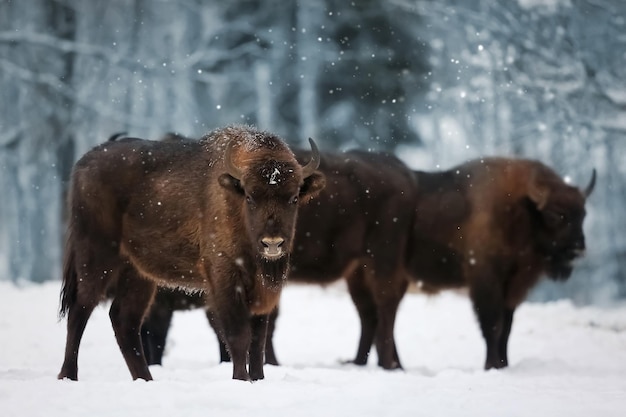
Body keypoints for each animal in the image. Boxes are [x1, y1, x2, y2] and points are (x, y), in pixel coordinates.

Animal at [56, 124, 324, 380]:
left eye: (294, 198)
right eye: (250, 196)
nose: (272, 243)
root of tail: (83, 164)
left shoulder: (263, 292)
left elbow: (258, 342)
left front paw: (258, 379)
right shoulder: (223, 279)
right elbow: (238, 336)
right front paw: (242, 379)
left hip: (137, 274)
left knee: (125, 320)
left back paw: (146, 379)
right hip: (96, 258)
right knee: (80, 309)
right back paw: (69, 375)